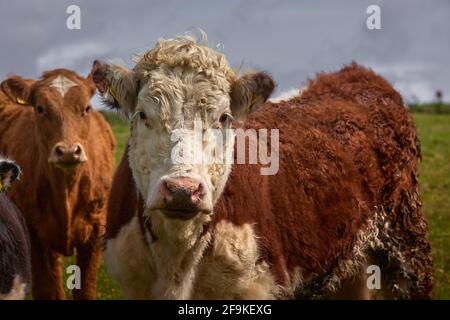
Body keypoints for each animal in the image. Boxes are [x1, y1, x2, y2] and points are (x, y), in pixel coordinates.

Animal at [0, 68, 116, 300]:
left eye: (86, 108)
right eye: (40, 108)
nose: (69, 151)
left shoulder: (96, 233)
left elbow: (85, 290)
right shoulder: (33, 235)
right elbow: (47, 290)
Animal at [95, 35, 432, 300]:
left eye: (224, 117)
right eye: (142, 114)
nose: (181, 190)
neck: (176, 259)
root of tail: (358, 75)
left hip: (406, 245)